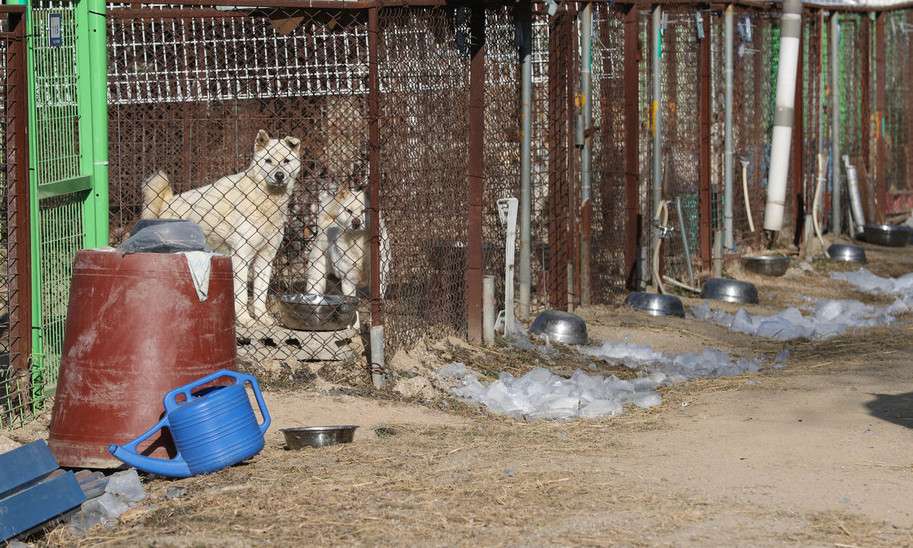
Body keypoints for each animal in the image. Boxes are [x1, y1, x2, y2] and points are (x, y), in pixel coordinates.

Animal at [141, 130, 302, 326]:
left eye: (286, 161)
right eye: (268, 161)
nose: (279, 176)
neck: (266, 200)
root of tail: (167, 203)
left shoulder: (265, 258)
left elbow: (260, 294)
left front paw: (263, 317)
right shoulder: (242, 257)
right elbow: (241, 295)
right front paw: (245, 319)